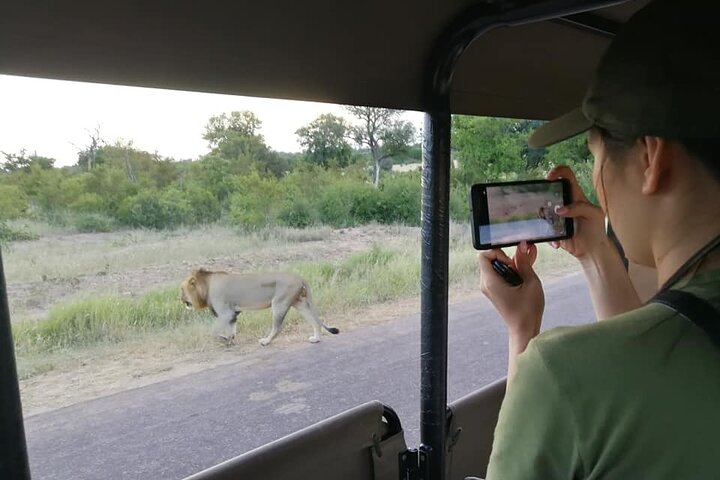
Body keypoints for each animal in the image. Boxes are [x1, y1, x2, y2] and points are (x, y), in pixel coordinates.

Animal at [179, 270, 338, 344]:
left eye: (181, 289)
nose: (179, 299)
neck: (206, 285)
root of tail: (300, 277)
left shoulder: (225, 313)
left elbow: (213, 332)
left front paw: (225, 340)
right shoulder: (233, 313)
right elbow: (231, 329)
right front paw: (230, 340)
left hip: (279, 303)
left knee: (278, 327)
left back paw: (266, 341)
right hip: (299, 303)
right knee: (315, 321)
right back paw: (316, 339)